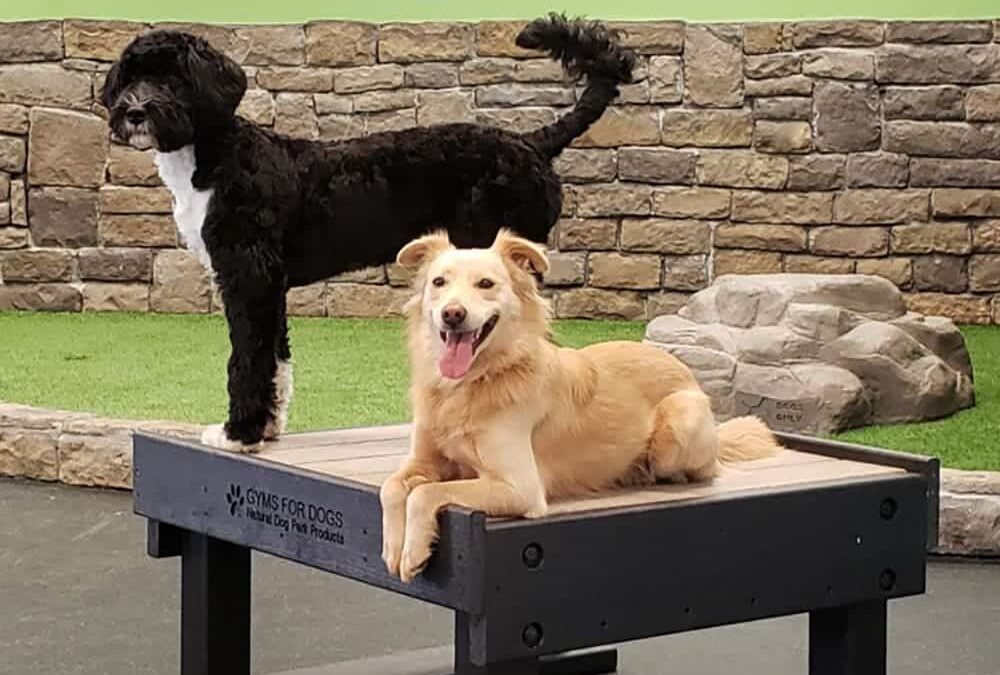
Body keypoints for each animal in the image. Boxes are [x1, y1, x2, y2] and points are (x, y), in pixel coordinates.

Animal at [99, 15, 636, 451]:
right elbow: (275, 358)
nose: (135, 110)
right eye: (131, 75)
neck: (217, 156)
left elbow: (246, 358)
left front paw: (238, 434)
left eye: (173, 78)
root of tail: (531, 142)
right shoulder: (270, 286)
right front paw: (267, 429)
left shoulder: (246, 277)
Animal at [378, 230, 782, 582]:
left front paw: (413, 552)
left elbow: (425, 493)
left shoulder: (519, 487)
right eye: (439, 282)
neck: (471, 384)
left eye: (486, 284)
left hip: (678, 425)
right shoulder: (423, 461)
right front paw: (394, 547)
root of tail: (682, 368)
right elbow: (393, 487)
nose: (452, 314)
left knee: (696, 468)